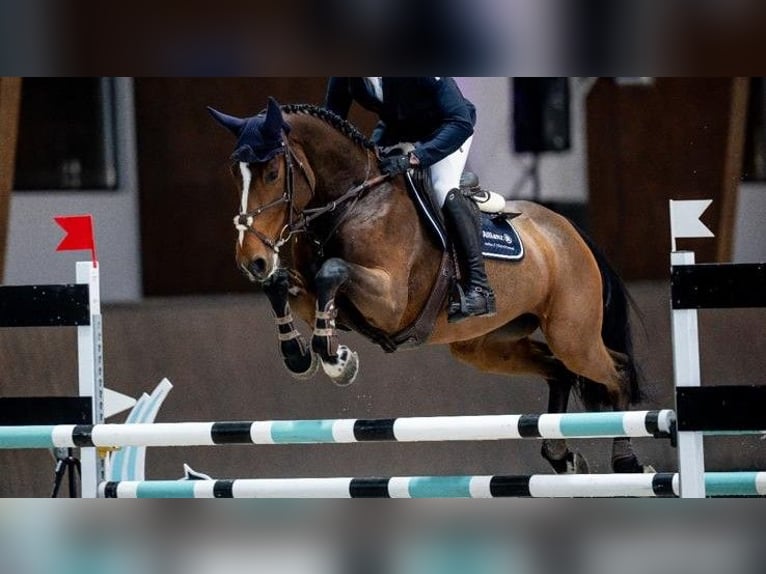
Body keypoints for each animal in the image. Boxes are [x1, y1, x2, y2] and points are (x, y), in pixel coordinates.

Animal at [207, 97, 652, 474]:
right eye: (234, 174)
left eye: (271, 173)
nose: (250, 260)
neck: (352, 200)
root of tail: (568, 230)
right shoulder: (310, 294)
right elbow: (282, 285)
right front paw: (301, 354)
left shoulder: (390, 302)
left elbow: (331, 270)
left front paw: (336, 359)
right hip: (486, 346)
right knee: (558, 372)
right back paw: (561, 456)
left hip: (572, 335)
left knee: (615, 372)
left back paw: (628, 462)